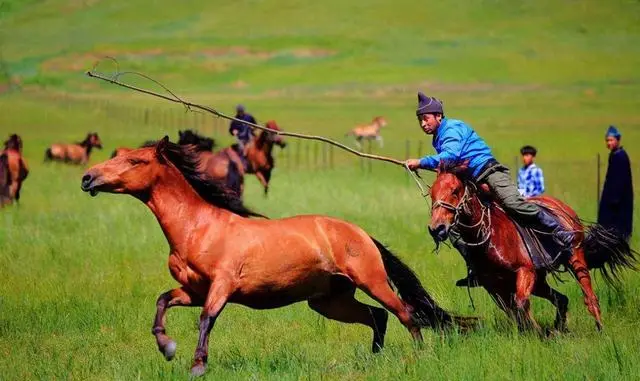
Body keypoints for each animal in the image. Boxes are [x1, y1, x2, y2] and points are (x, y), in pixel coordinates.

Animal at [80, 137, 478, 374]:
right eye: (116, 155)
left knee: (405, 314)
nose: (87, 178)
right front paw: (167, 347)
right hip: (328, 301)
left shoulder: (221, 286)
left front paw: (197, 365)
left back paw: (418, 356)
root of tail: (360, 233)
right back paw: (374, 359)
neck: (198, 228)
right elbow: (163, 301)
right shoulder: (193, 291)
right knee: (377, 317)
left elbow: (207, 320)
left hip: (372, 282)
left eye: (134, 161)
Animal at [428, 163, 636, 332]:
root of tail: (563, 208)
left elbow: (520, 304)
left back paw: (599, 326)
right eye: (432, 194)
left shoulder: (525, 271)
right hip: (539, 281)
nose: (436, 228)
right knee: (561, 299)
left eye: (455, 190)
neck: (489, 234)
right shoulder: (493, 286)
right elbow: (512, 310)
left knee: (588, 293)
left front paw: (538, 332)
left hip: (575, 259)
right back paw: (559, 327)